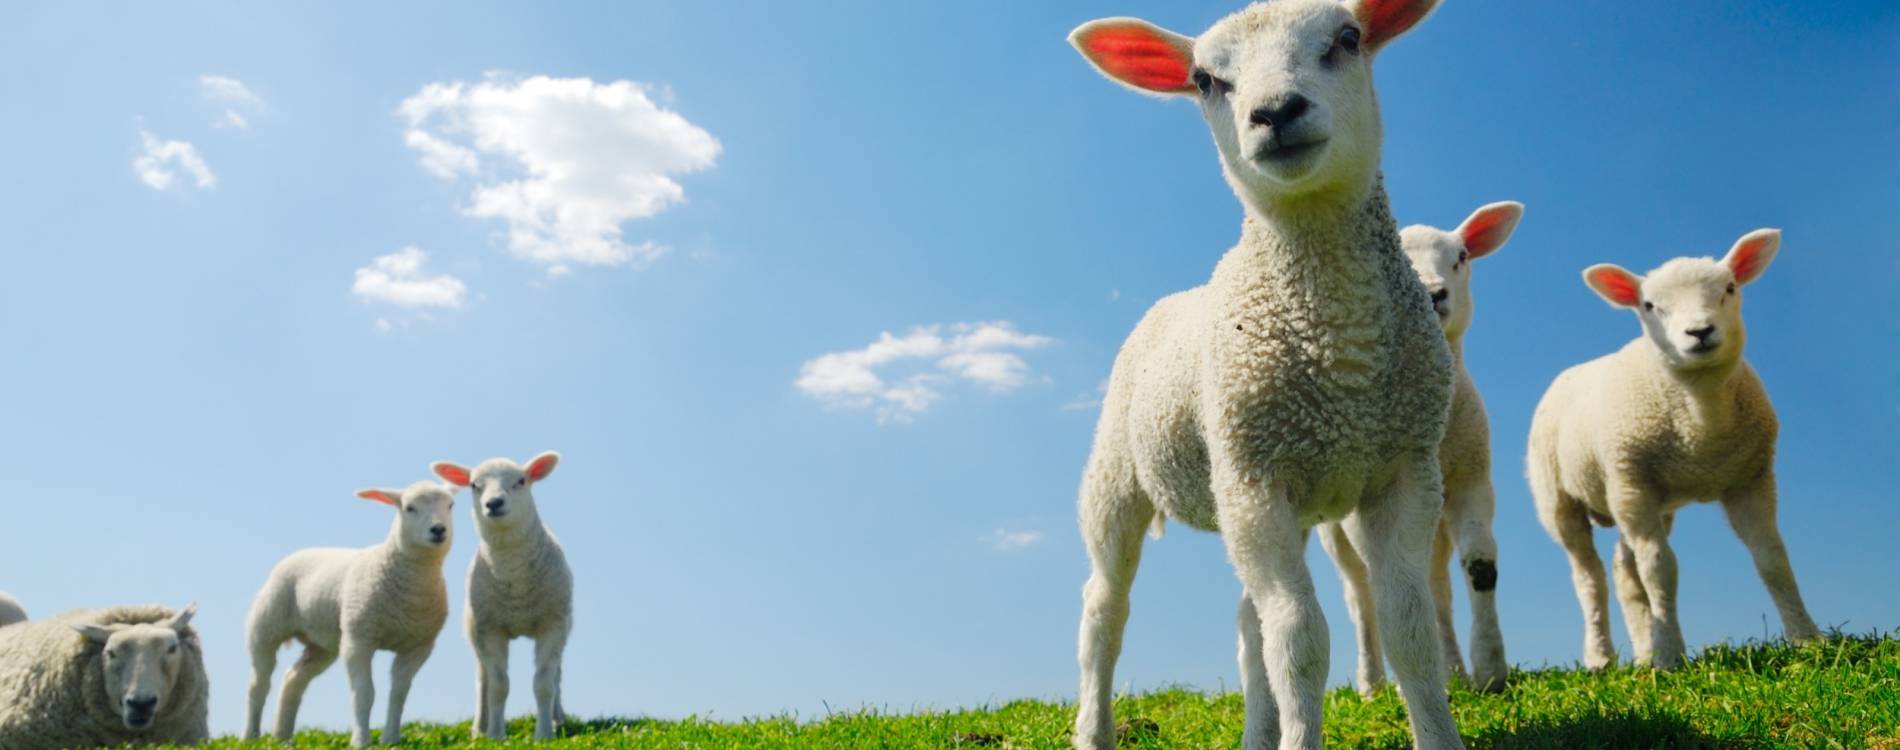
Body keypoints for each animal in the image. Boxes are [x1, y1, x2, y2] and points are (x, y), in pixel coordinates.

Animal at [242, 481, 456, 747]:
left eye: (451, 505)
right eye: (409, 508)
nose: (438, 529)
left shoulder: (418, 647)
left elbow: (398, 694)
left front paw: (390, 739)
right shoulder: (358, 640)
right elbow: (364, 693)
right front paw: (361, 741)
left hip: (322, 645)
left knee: (293, 679)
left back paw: (281, 737)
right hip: (266, 626)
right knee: (258, 683)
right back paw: (250, 736)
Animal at [431, 452, 573, 741]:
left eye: (521, 481)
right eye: (474, 485)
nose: (494, 503)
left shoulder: (552, 625)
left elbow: (544, 683)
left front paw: (544, 734)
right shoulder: (490, 629)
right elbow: (498, 685)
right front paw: (496, 735)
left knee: (557, 675)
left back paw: (558, 718)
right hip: (475, 630)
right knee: (482, 678)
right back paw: (480, 729)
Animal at [1067, 1, 1463, 748]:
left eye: (1347, 39)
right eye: (1203, 79)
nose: (1276, 112)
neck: (1343, 358)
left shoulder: (1406, 469)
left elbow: (1409, 628)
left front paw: (1437, 734)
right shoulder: (1254, 475)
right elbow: (1301, 640)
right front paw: (1301, 735)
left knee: (1249, 625)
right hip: (1121, 479)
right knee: (1104, 613)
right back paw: (1092, 728)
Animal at [1318, 201, 1521, 695]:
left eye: (1462, 256)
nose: (1433, 294)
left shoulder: (1472, 480)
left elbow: (1480, 565)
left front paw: (1489, 668)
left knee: (1435, 585)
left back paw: (1452, 669)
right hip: (1335, 531)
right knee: (1361, 595)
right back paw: (1372, 682)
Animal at [1528, 228, 1820, 670]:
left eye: (1729, 288)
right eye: (1649, 305)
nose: (1699, 332)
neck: (1701, 427)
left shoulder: (1751, 479)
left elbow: (1772, 557)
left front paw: (1808, 639)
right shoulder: (1633, 482)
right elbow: (1659, 569)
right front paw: (1670, 655)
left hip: (1637, 497)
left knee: (1624, 570)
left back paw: (1643, 652)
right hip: (1563, 498)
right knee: (1589, 576)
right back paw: (1601, 656)